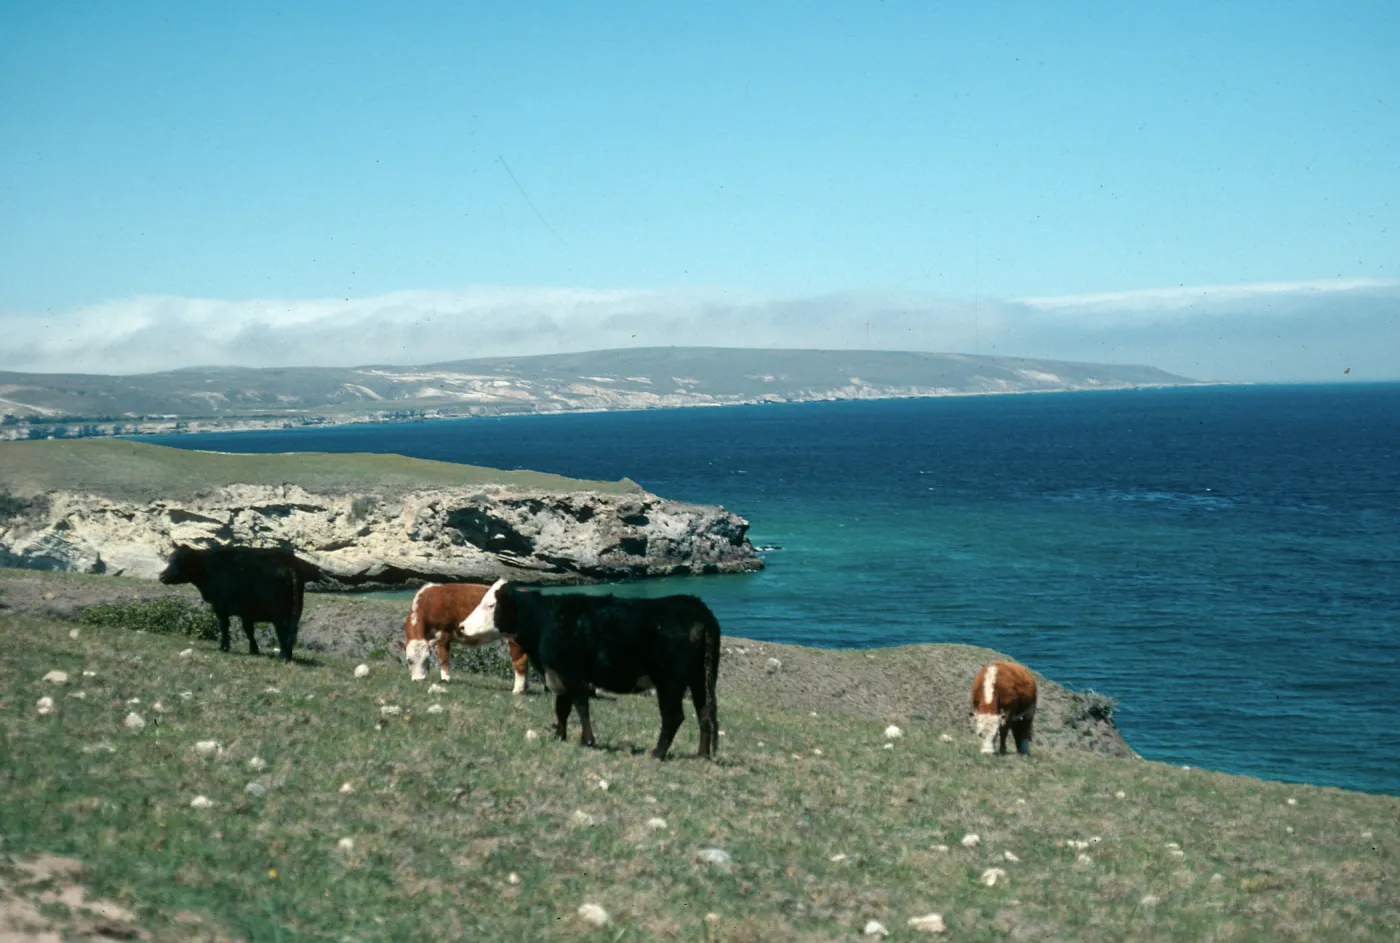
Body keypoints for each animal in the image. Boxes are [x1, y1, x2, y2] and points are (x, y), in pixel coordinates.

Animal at [158, 544, 322, 662]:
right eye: (170, 560)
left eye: (180, 562)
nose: (162, 576)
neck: (208, 568)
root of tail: (288, 563)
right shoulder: (246, 612)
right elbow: (249, 631)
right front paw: (254, 650)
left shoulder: (220, 606)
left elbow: (224, 627)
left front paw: (224, 648)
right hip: (295, 610)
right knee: (291, 632)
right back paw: (288, 655)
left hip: (278, 611)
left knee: (282, 631)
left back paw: (282, 656)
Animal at [458, 579, 721, 760]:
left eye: (490, 604)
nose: (461, 627)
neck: (545, 620)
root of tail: (695, 606)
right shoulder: (557, 675)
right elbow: (562, 709)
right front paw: (560, 736)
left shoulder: (571, 674)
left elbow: (581, 706)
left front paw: (588, 740)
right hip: (701, 678)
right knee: (705, 712)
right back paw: (702, 754)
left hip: (670, 681)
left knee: (674, 716)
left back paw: (657, 753)